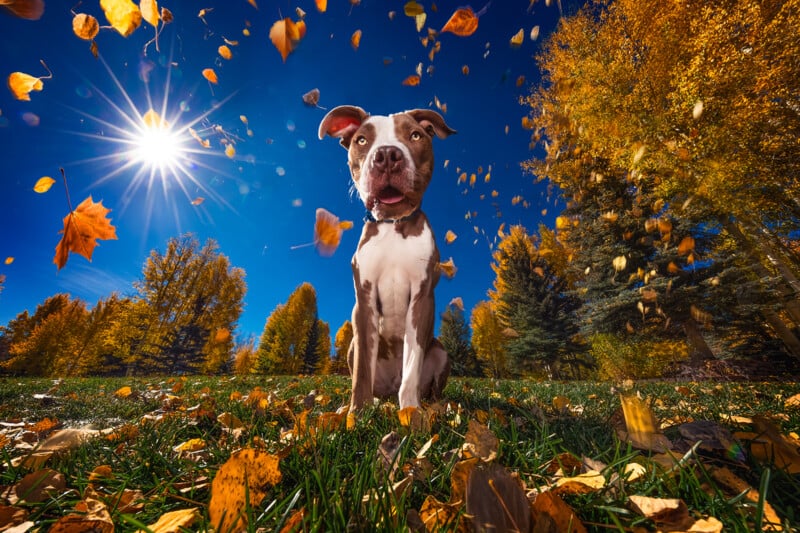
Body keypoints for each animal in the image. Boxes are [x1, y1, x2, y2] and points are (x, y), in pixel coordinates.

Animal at [318, 106, 456, 410]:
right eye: (361, 140)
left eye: (415, 135)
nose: (387, 155)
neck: (394, 224)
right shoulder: (364, 302)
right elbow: (361, 370)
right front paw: (356, 413)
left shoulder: (422, 298)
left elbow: (413, 364)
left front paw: (411, 413)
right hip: (352, 345)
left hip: (441, 351)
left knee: (430, 388)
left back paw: (436, 407)